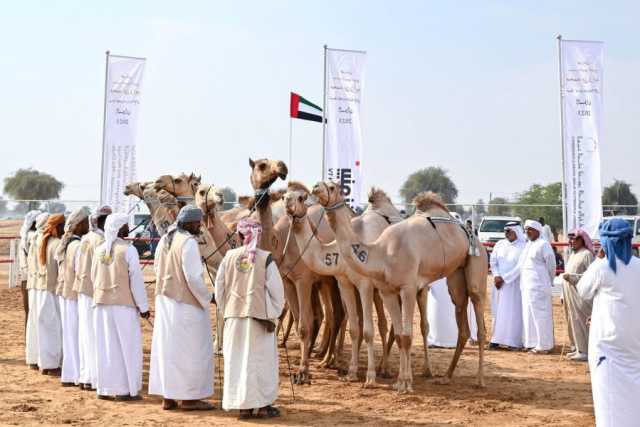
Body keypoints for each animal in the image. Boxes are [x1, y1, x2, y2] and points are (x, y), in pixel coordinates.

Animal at [284, 184, 400, 388]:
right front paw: (352, 372)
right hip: (377, 289)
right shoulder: (344, 282)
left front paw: (370, 378)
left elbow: (368, 330)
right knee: (381, 323)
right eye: (284, 196)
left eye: (300, 197)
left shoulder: (364, 284)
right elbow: (354, 328)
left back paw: (388, 370)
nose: (288, 205)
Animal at [312, 182, 488, 392]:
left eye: (332, 187)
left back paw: (478, 379)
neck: (382, 252)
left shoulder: (407, 288)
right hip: (456, 275)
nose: (316, 187)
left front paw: (403, 383)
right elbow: (399, 335)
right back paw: (446, 376)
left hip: (476, 266)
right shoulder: (387, 291)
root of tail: (471, 232)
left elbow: (406, 335)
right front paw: (400, 382)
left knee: (478, 319)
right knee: (461, 319)